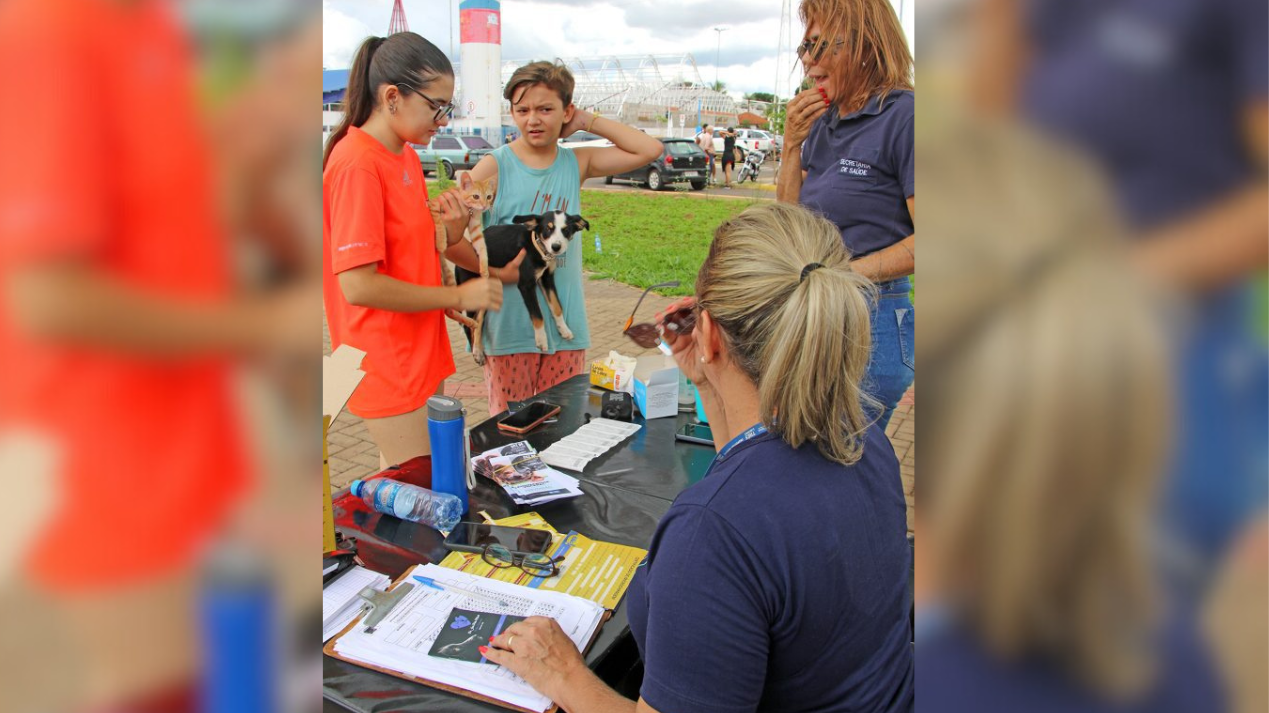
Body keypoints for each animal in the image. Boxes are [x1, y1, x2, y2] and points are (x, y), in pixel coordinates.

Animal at [456, 206, 588, 360]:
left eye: (566, 230)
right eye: (548, 228)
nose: (556, 247)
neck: (537, 247)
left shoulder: (547, 279)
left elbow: (556, 306)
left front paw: (564, 329)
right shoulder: (526, 284)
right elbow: (537, 315)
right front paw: (541, 340)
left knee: (478, 320)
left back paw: (478, 349)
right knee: (469, 324)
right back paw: (476, 351)